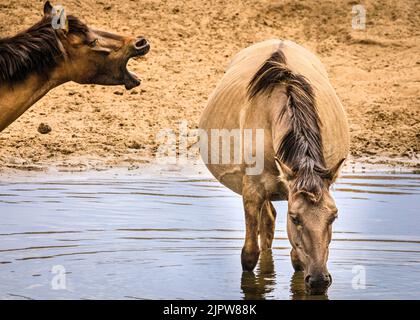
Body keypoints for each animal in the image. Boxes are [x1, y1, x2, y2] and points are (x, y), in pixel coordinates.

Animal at [199, 38, 350, 294]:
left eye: (334, 216)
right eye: (295, 218)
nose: (319, 280)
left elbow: (297, 260)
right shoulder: (252, 192)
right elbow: (249, 255)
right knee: (267, 225)